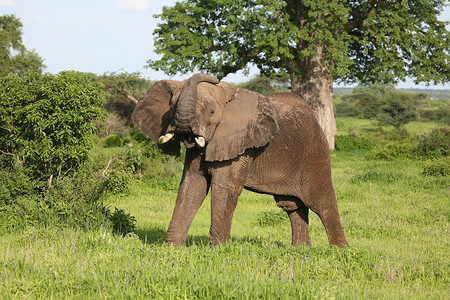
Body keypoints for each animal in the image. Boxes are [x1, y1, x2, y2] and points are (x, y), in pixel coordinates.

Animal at [130, 74, 348, 247]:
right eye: (171, 108)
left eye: (211, 112)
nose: (214, 78)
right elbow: (192, 185)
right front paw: (173, 250)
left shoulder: (239, 145)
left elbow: (224, 188)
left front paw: (218, 250)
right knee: (292, 206)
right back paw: (301, 250)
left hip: (314, 152)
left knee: (322, 203)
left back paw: (339, 251)